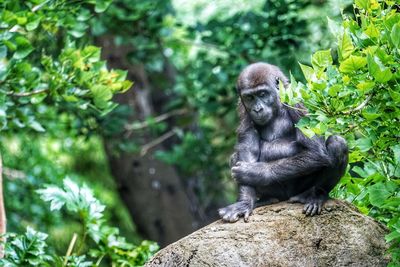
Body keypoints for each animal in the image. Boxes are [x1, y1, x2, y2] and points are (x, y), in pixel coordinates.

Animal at [219, 61, 346, 223]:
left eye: (262, 94)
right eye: (249, 97)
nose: (257, 109)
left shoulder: (298, 100)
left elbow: (315, 152)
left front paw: (255, 173)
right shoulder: (243, 108)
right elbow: (247, 149)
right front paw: (244, 202)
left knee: (338, 143)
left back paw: (316, 195)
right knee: (235, 157)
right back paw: (266, 199)